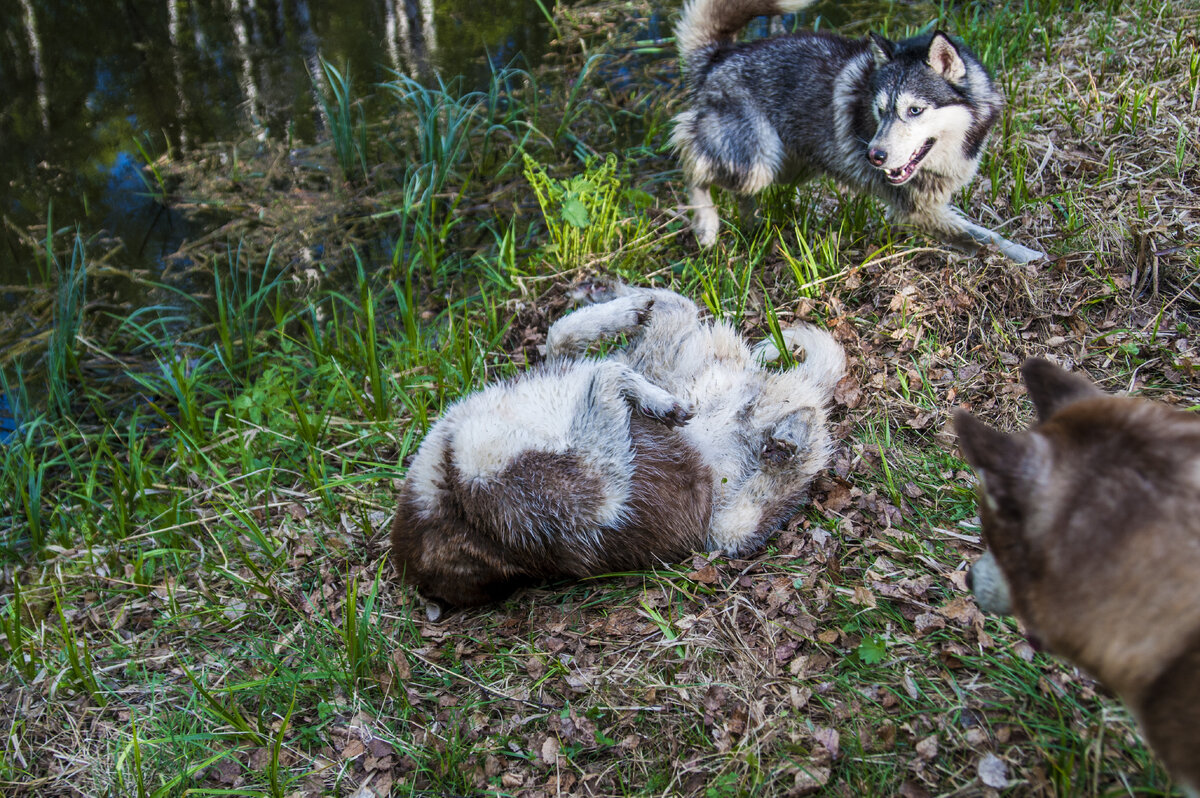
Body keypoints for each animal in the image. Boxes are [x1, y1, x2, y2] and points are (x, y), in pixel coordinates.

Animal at [391, 283, 844, 607]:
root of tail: (766, 393)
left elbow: (560, 337)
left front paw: (622, 316)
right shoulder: (596, 492)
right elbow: (604, 373)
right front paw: (649, 397)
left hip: (669, 360)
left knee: (676, 308)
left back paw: (636, 300)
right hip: (729, 526)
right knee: (798, 451)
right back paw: (789, 434)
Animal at [672, 0, 1046, 262]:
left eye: (915, 110)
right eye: (880, 111)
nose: (873, 156)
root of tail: (719, 56)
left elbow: (984, 234)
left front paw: (1022, 253)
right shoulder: (916, 210)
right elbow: (979, 236)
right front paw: (1019, 258)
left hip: (788, 168)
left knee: (736, 190)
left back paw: (752, 226)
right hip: (758, 161)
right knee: (691, 163)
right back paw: (706, 225)